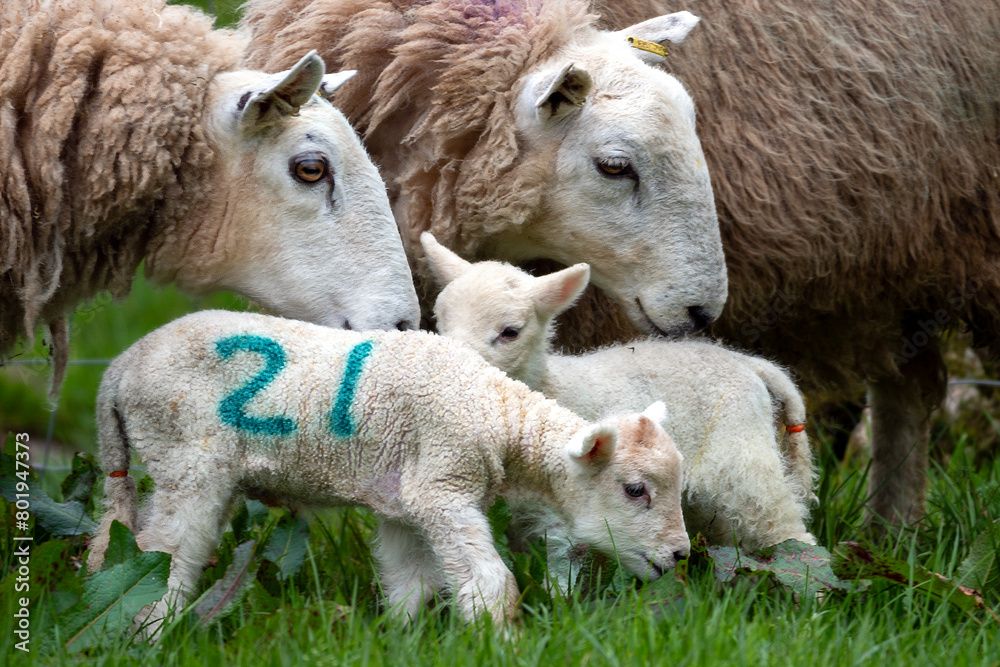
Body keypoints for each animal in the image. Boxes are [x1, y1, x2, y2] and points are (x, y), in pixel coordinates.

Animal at [87, 309, 689, 630]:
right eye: (635, 490)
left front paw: (401, 637)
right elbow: (491, 584)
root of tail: (118, 369)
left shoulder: (403, 502)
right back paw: (149, 631)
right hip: (186, 460)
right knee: (166, 553)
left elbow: (411, 585)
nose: (681, 555)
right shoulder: (442, 486)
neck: (496, 413)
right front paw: (504, 640)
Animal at [422, 232, 817, 564]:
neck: (550, 386)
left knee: (780, 523)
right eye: (440, 321)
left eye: (510, 332)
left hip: (741, 457)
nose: (448, 368)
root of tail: (751, 364)